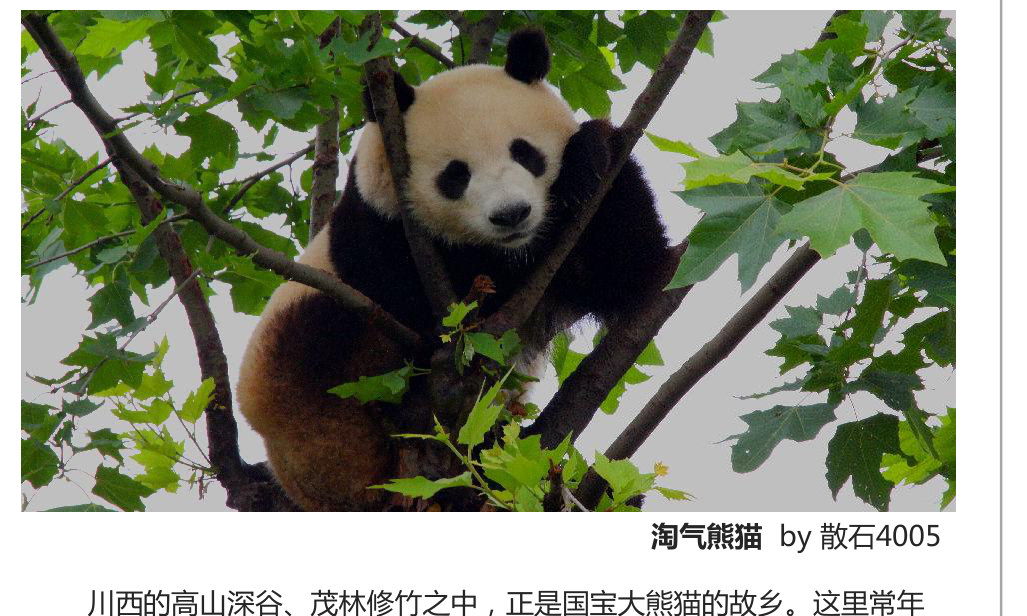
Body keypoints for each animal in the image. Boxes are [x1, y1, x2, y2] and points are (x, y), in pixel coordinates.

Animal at [237, 28, 670, 511]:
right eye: (455, 175)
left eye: (526, 153)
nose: (511, 215)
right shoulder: (378, 232)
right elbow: (433, 306)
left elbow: (629, 270)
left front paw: (588, 156)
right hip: (307, 386)